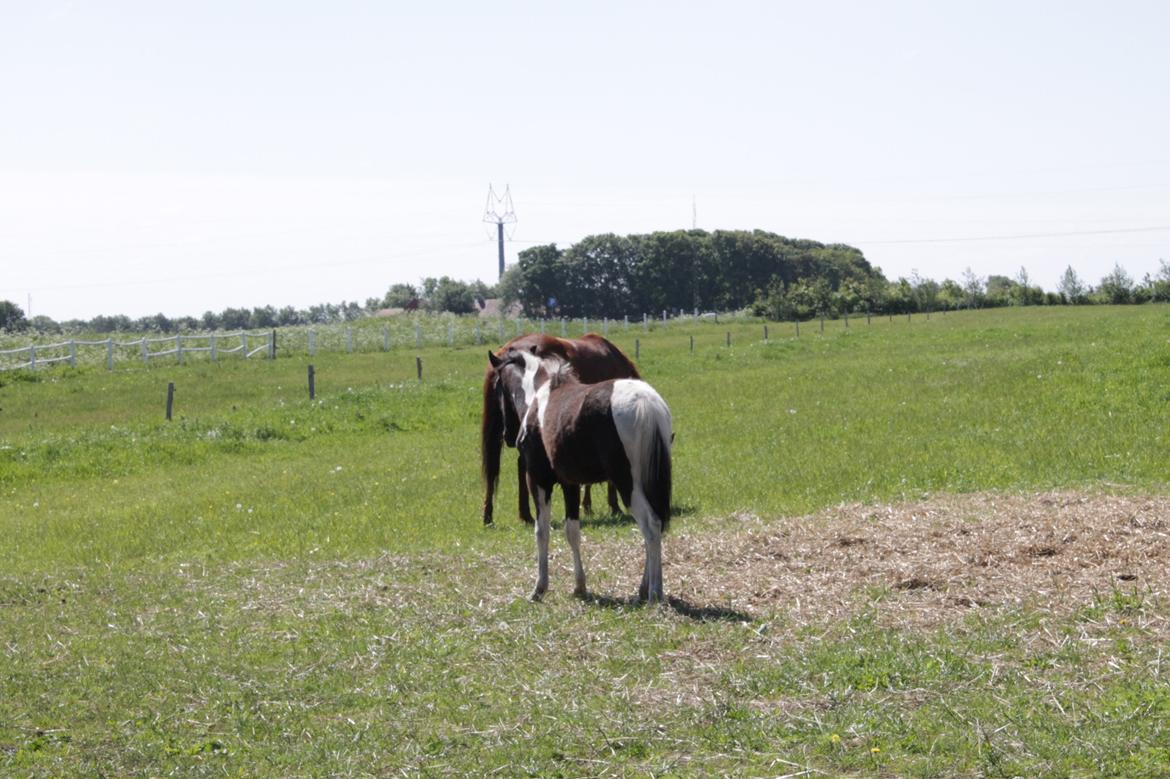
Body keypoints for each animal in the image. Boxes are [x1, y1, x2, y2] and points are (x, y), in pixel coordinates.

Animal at [484, 346, 673, 598]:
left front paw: (540, 587)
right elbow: (572, 531)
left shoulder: (538, 481)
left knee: (650, 526)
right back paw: (645, 589)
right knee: (655, 526)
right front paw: (579, 586)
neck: (538, 398)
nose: (508, 435)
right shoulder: (570, 484)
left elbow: (541, 531)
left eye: (497, 386)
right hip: (647, 482)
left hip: (628, 484)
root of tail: (646, 403)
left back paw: (654, 592)